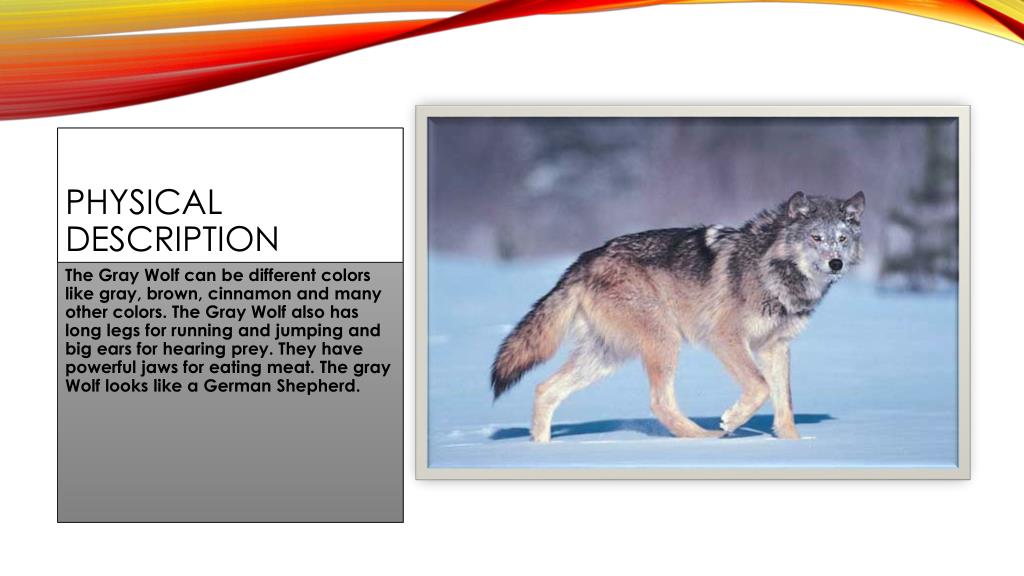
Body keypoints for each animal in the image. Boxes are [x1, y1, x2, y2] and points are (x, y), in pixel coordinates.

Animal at [490, 191, 865, 441]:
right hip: (664, 339)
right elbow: (759, 387)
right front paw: (731, 422)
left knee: (544, 389)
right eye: (816, 238)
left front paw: (793, 444)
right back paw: (704, 438)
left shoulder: (776, 346)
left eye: (841, 239)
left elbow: (784, 402)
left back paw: (541, 448)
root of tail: (583, 260)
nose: (836, 263)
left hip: (606, 357)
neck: (773, 271)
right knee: (659, 403)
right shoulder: (726, 339)